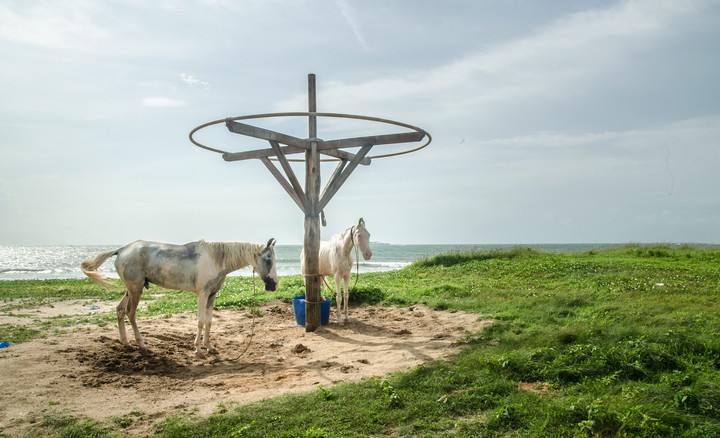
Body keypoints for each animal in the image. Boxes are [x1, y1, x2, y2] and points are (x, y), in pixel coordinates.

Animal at [81, 238, 278, 355]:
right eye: (268, 260)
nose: (274, 284)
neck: (215, 259)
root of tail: (121, 250)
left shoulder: (212, 295)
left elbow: (209, 322)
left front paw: (209, 347)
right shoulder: (202, 294)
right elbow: (200, 321)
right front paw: (198, 349)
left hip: (130, 289)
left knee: (120, 310)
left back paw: (125, 342)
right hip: (136, 290)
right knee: (131, 313)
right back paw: (142, 344)